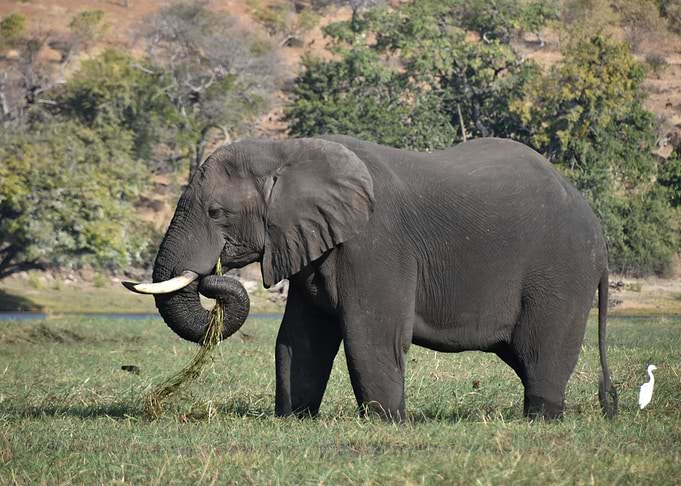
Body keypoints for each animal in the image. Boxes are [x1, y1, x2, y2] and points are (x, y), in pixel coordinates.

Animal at [124, 135, 618, 421]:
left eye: (215, 213)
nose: (212, 276)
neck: (289, 151)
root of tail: (595, 223)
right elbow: (299, 338)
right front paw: (292, 420)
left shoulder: (375, 244)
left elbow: (370, 335)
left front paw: (386, 423)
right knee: (521, 353)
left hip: (560, 270)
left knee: (540, 351)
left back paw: (542, 419)